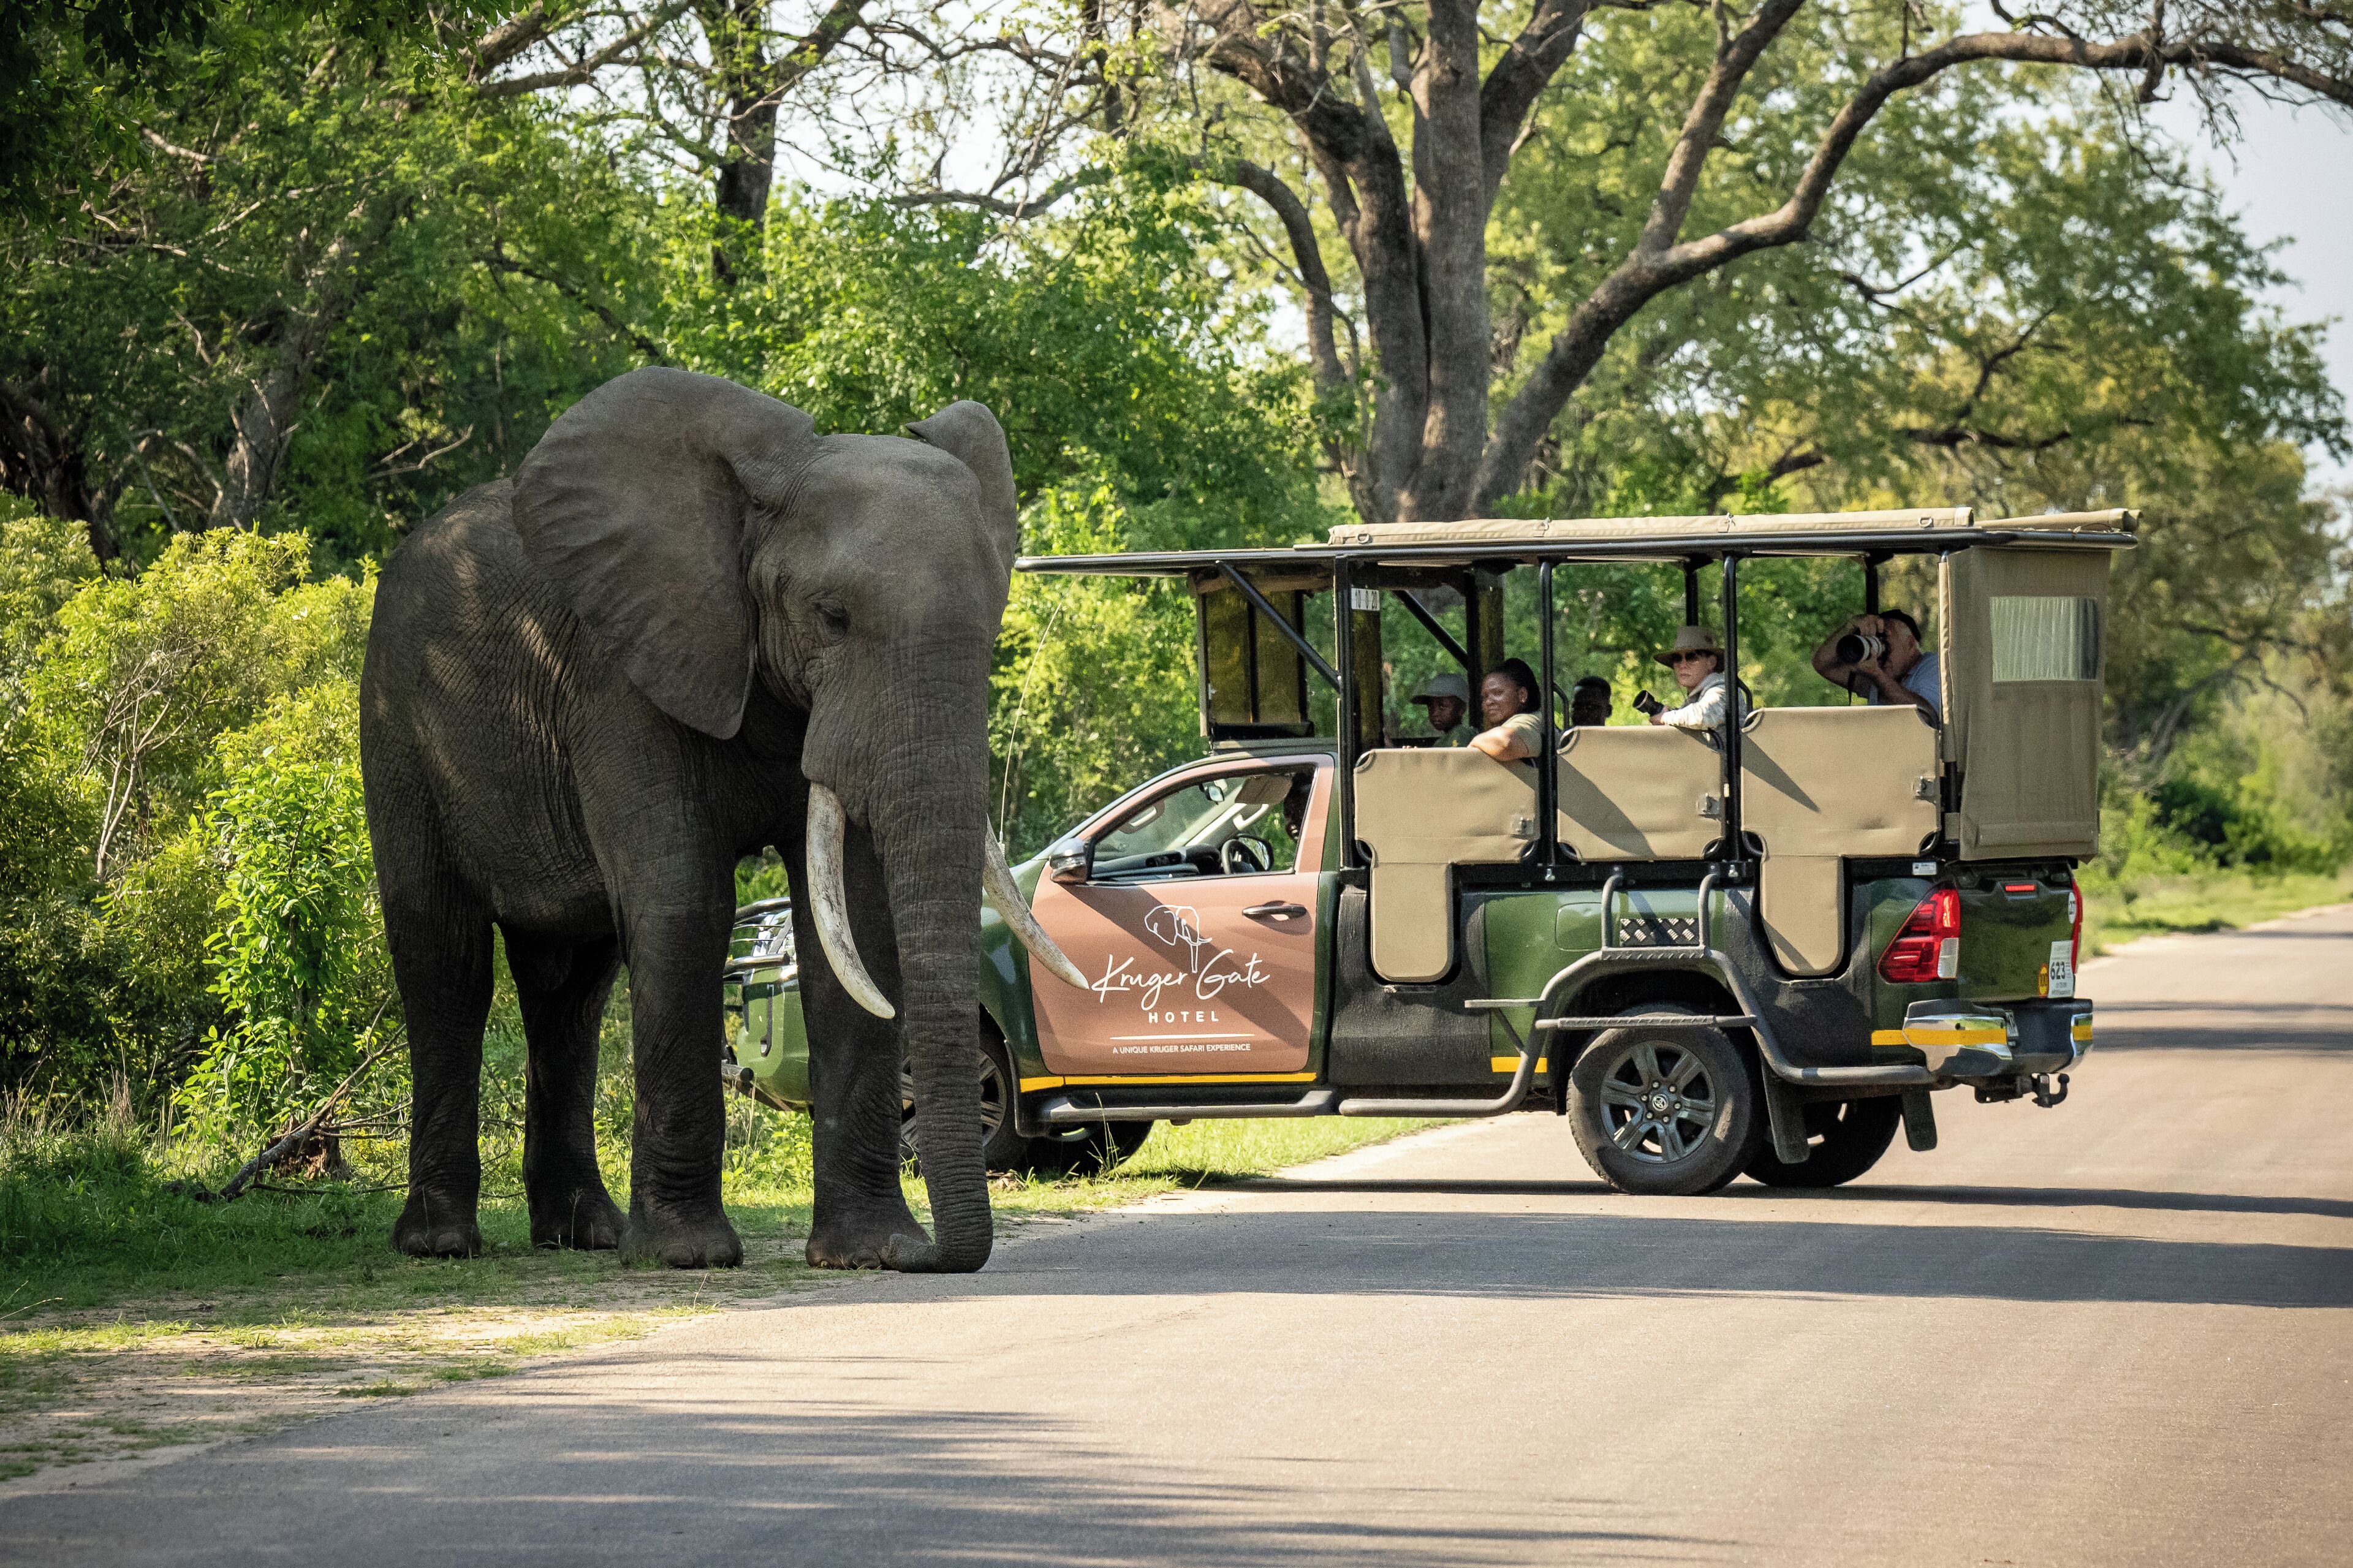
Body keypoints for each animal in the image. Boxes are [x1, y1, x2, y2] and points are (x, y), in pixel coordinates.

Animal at [358, 366, 1085, 1272]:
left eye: (992, 629)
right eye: (832, 616)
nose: (929, 1257)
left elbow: (854, 919)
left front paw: (866, 1252)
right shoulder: (625, 676)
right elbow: (684, 906)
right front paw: (688, 1254)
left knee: (570, 988)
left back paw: (585, 1233)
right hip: (397, 725)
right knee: (445, 958)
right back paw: (442, 1243)